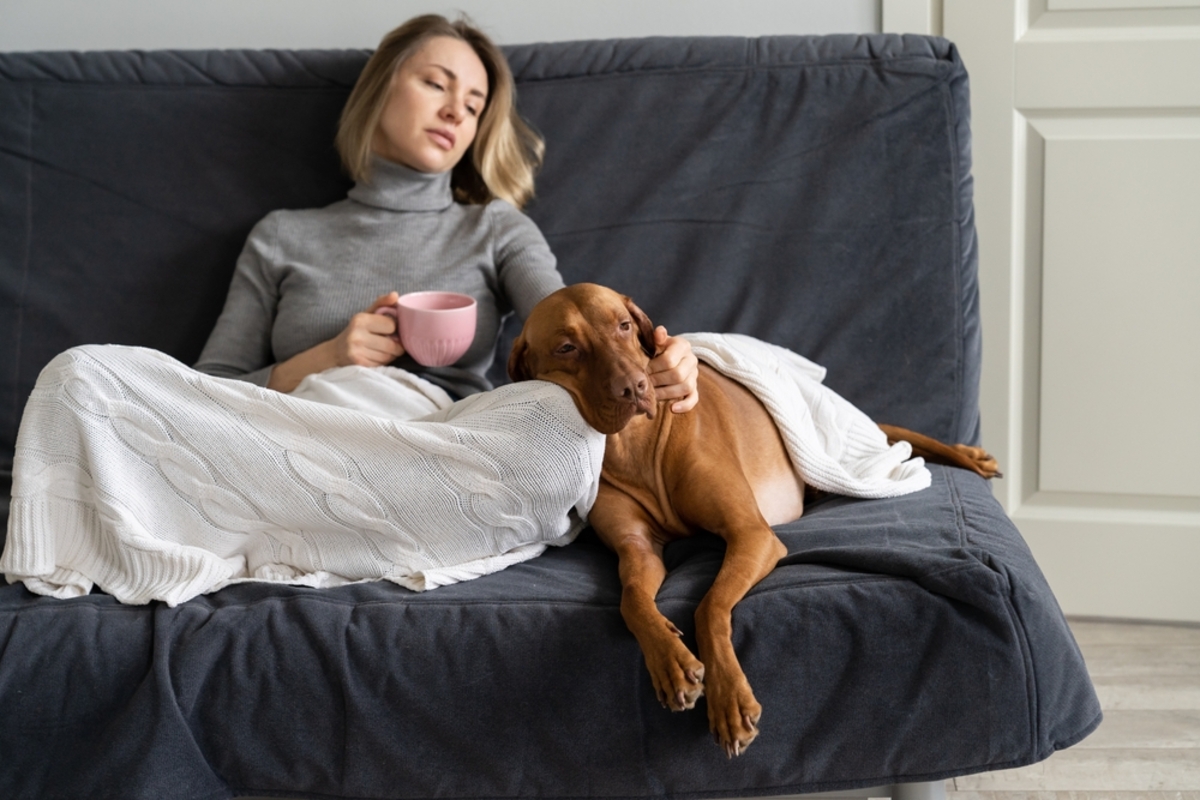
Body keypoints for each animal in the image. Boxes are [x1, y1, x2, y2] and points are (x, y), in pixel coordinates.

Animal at [508, 281, 1003, 758]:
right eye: (567, 347)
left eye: (624, 325)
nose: (635, 388)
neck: (637, 445)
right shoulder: (638, 548)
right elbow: (631, 600)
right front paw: (671, 662)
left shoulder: (751, 534)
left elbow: (709, 606)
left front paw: (729, 701)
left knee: (899, 435)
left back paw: (971, 457)